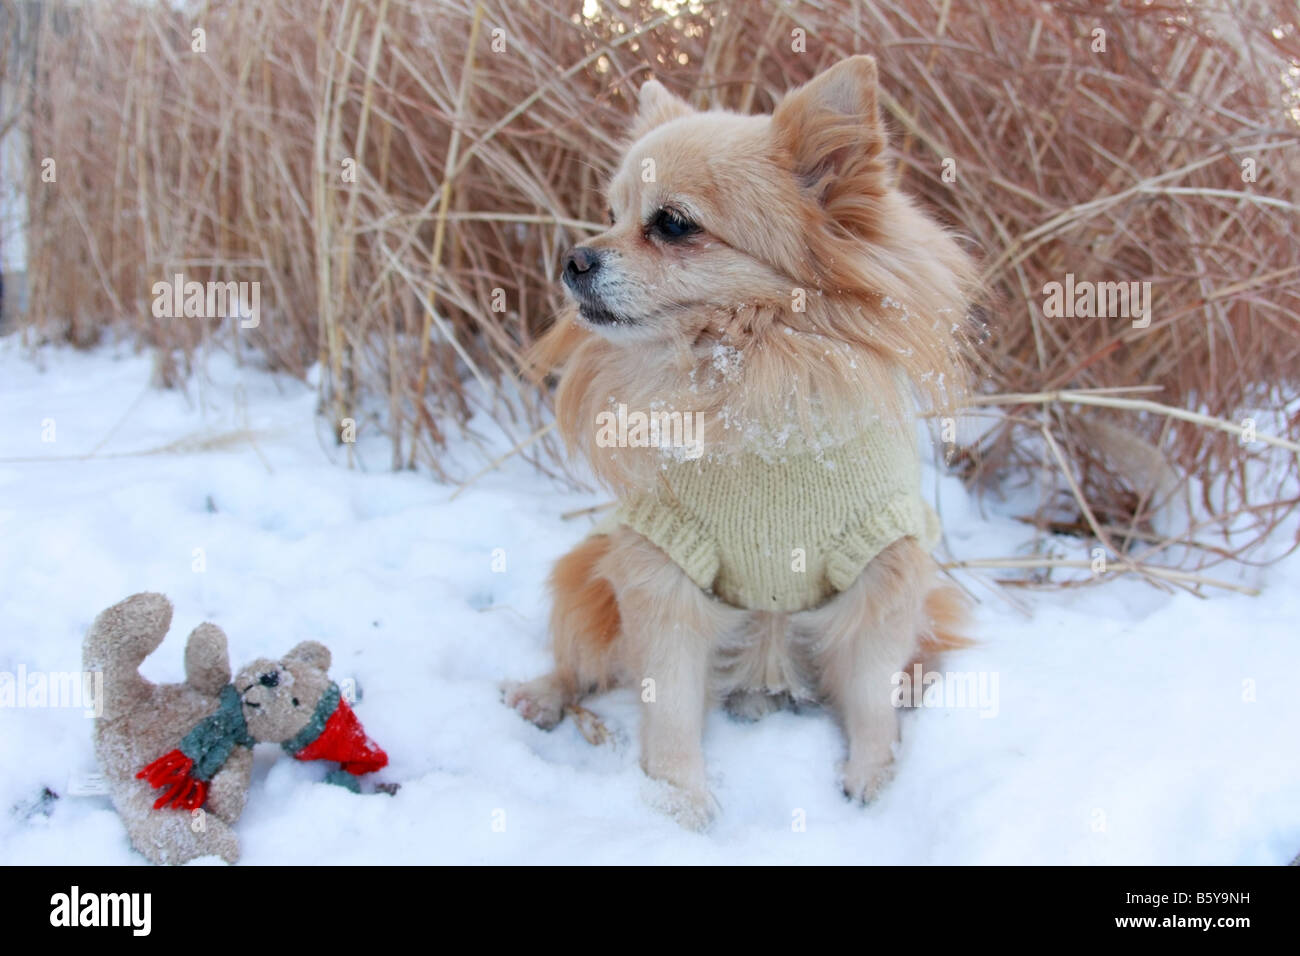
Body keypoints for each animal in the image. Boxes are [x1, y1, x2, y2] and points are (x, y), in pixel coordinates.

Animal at [504, 55, 977, 827]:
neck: (748, 373)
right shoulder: (663, 562)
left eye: (671, 224)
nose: (574, 258)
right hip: (589, 570)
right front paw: (679, 800)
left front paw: (874, 775)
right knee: (583, 663)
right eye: (611, 216)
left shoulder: (881, 564)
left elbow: (871, 693)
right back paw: (544, 693)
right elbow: (668, 707)